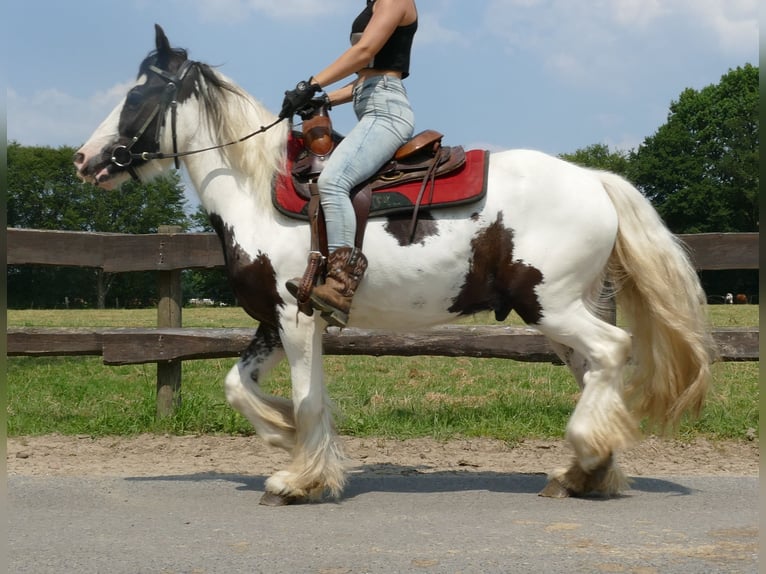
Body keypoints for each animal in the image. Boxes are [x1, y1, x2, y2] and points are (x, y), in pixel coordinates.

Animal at [72, 24, 712, 506]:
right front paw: (284, 438)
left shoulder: (297, 319)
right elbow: (239, 386)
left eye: (135, 98)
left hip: (549, 306)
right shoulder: (275, 320)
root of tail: (596, 181)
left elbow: (307, 400)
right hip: (560, 315)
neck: (255, 190)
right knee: (593, 371)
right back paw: (586, 471)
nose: (83, 159)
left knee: (612, 351)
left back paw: (584, 457)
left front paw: (299, 479)